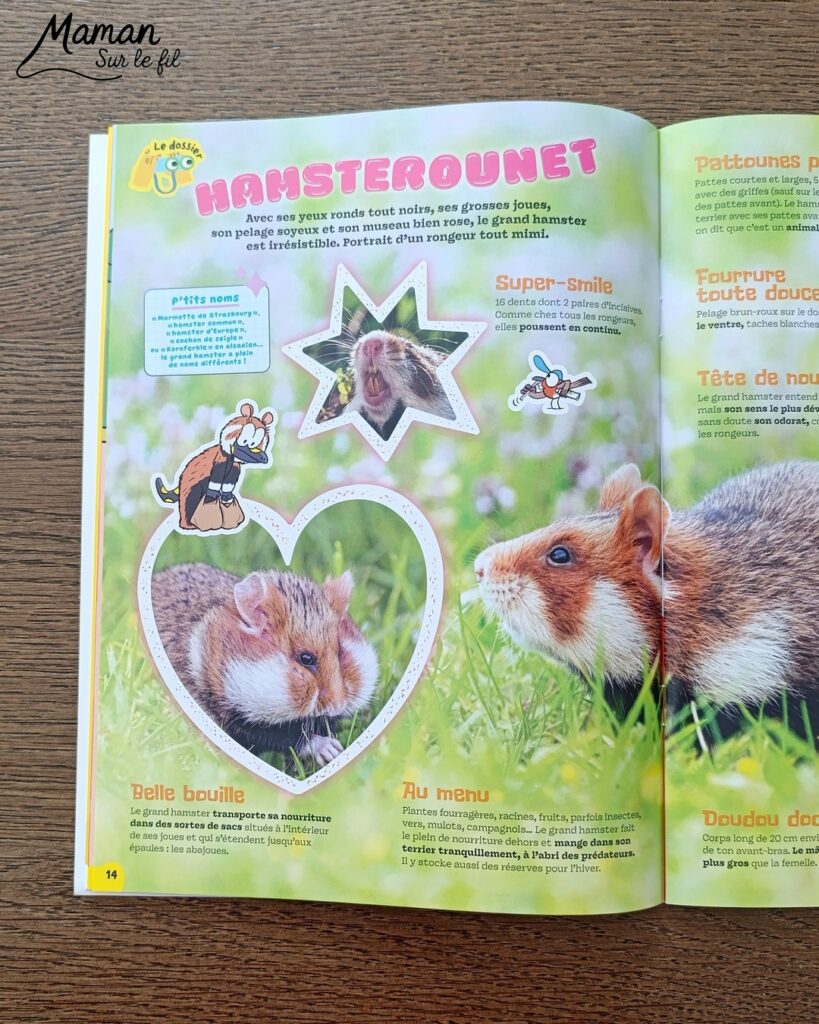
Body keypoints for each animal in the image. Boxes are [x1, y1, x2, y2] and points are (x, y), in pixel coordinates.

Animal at [151, 563, 378, 766]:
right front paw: (331, 750)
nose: (338, 706)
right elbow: (286, 737)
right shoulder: (238, 719)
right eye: (306, 659)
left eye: (340, 651)